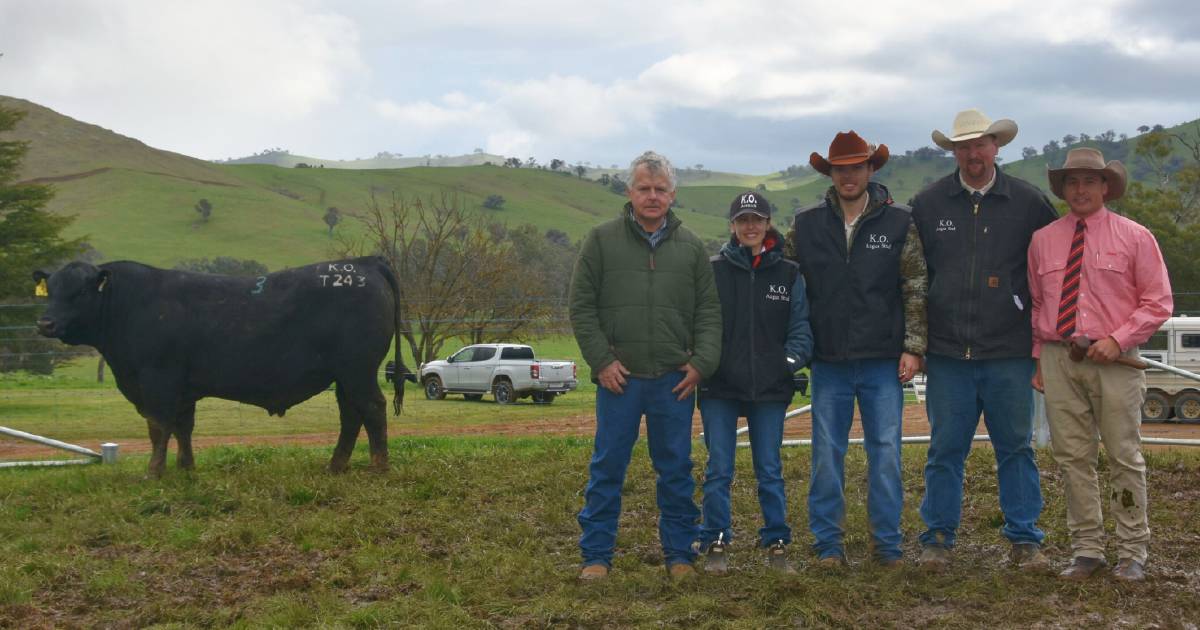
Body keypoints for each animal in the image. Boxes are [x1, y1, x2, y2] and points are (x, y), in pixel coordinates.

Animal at [34, 255, 417, 477]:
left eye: (80, 291)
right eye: (49, 290)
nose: (45, 323)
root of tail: (363, 263)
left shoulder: (157, 379)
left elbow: (158, 427)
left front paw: (154, 472)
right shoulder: (182, 387)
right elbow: (183, 427)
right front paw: (186, 469)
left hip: (357, 371)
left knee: (372, 409)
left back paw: (379, 467)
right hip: (343, 375)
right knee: (351, 416)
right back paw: (335, 466)